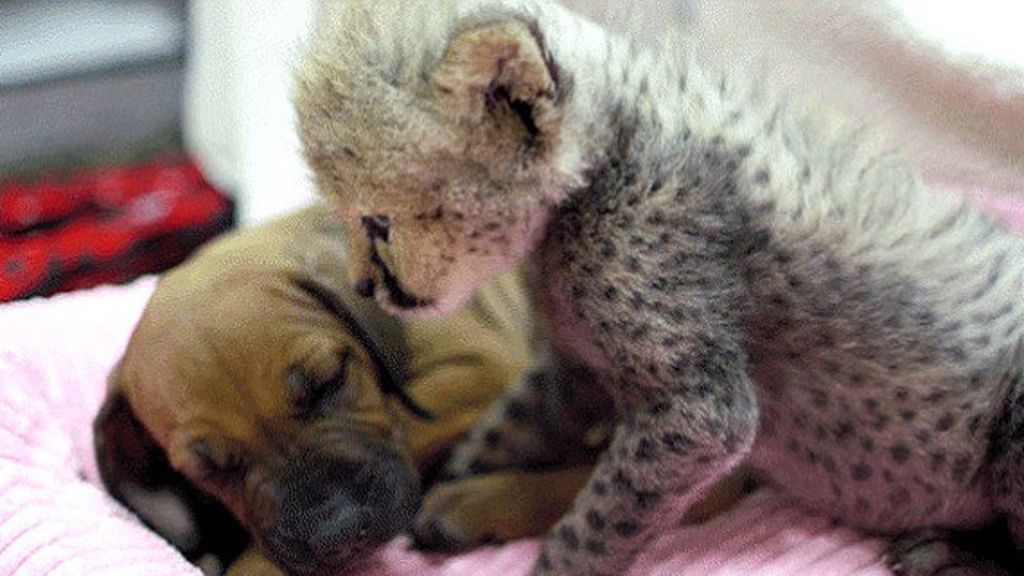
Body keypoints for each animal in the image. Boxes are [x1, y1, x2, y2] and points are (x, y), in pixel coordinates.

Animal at [94, 207, 606, 573]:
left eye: (331, 381)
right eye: (209, 469)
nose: (339, 532)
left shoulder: (483, 366)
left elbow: (407, 421)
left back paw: (472, 505)